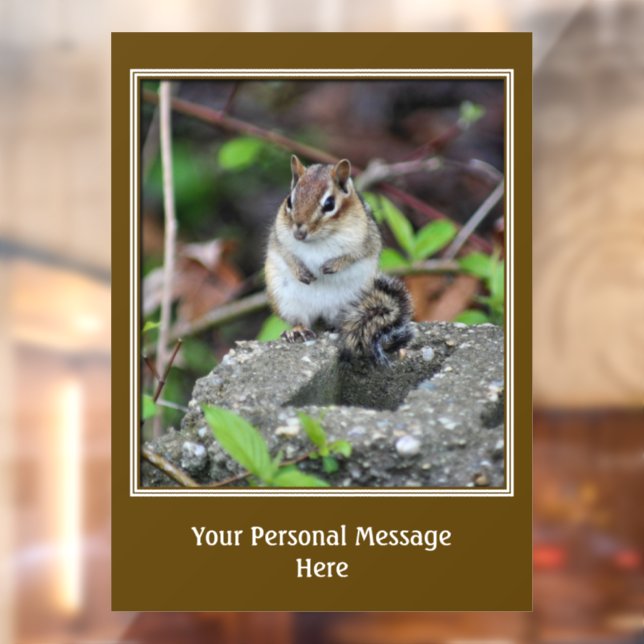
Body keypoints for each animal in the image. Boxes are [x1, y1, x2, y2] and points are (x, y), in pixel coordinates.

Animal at [264, 154, 414, 366]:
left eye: (329, 204)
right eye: (289, 202)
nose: (299, 233)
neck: (318, 240)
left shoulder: (367, 239)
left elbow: (355, 254)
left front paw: (333, 266)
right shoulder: (278, 238)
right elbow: (286, 254)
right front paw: (300, 271)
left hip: (352, 303)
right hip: (287, 301)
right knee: (300, 320)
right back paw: (298, 331)